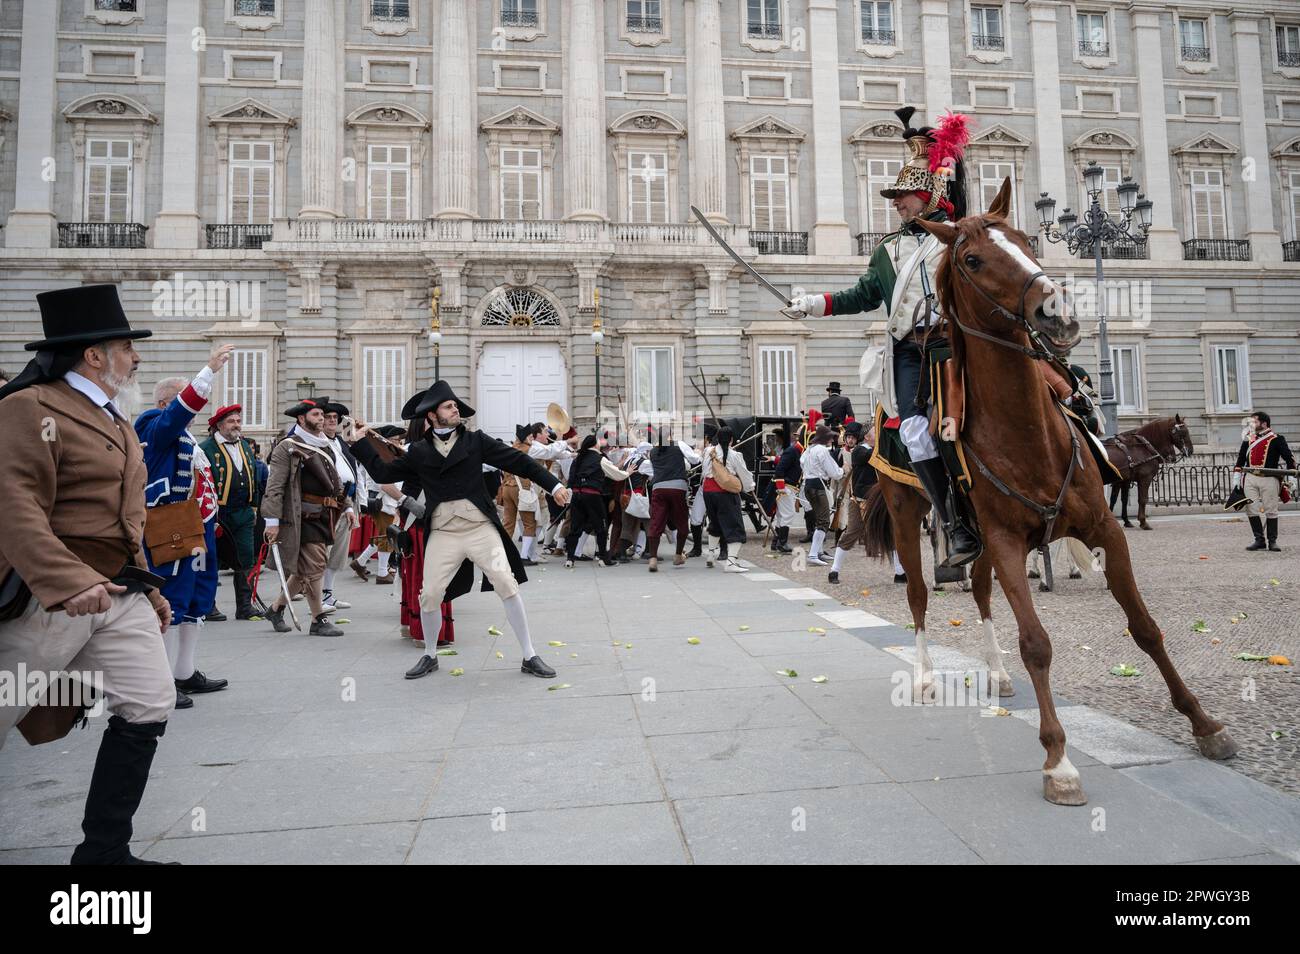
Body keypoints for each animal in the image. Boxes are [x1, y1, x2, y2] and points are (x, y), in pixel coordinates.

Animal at [863, 180, 1237, 805]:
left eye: (1023, 239)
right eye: (971, 260)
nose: (1056, 312)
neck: (1027, 434)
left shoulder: (1103, 530)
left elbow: (1145, 626)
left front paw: (1203, 723)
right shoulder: (1009, 542)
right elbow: (1036, 642)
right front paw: (1058, 760)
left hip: (979, 541)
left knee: (981, 592)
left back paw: (994, 672)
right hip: (909, 510)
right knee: (917, 594)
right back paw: (923, 676)